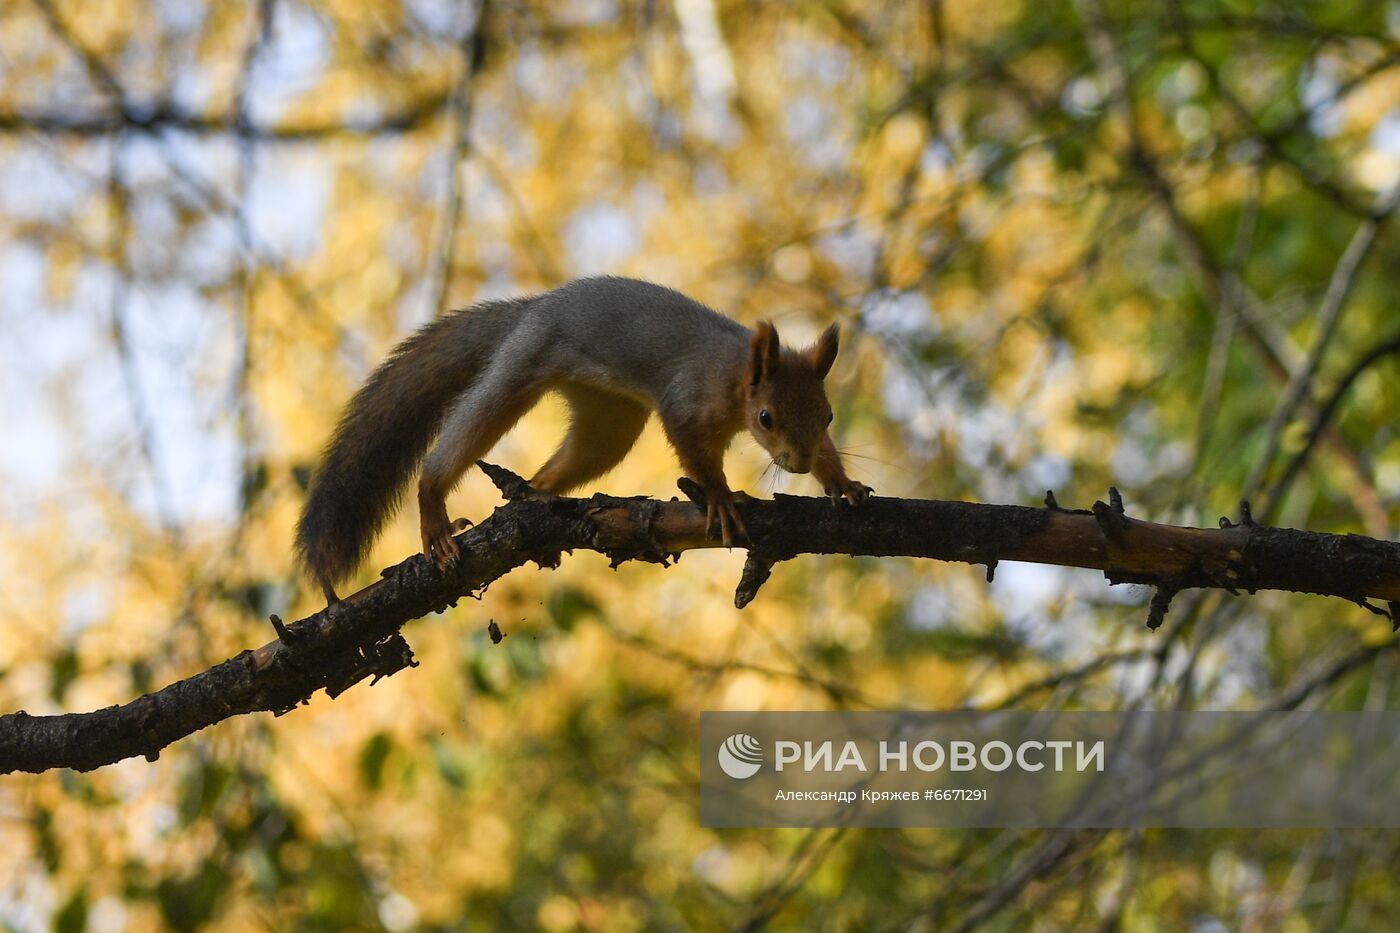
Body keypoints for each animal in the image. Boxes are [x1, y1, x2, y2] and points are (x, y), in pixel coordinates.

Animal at [292, 273, 862, 599]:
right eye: (766, 418)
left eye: (828, 416)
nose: (798, 463)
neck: (734, 373)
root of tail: (532, 307)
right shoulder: (684, 401)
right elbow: (695, 456)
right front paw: (720, 499)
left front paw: (842, 484)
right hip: (524, 363)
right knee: (458, 440)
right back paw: (436, 515)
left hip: (609, 420)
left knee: (558, 470)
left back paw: (535, 498)